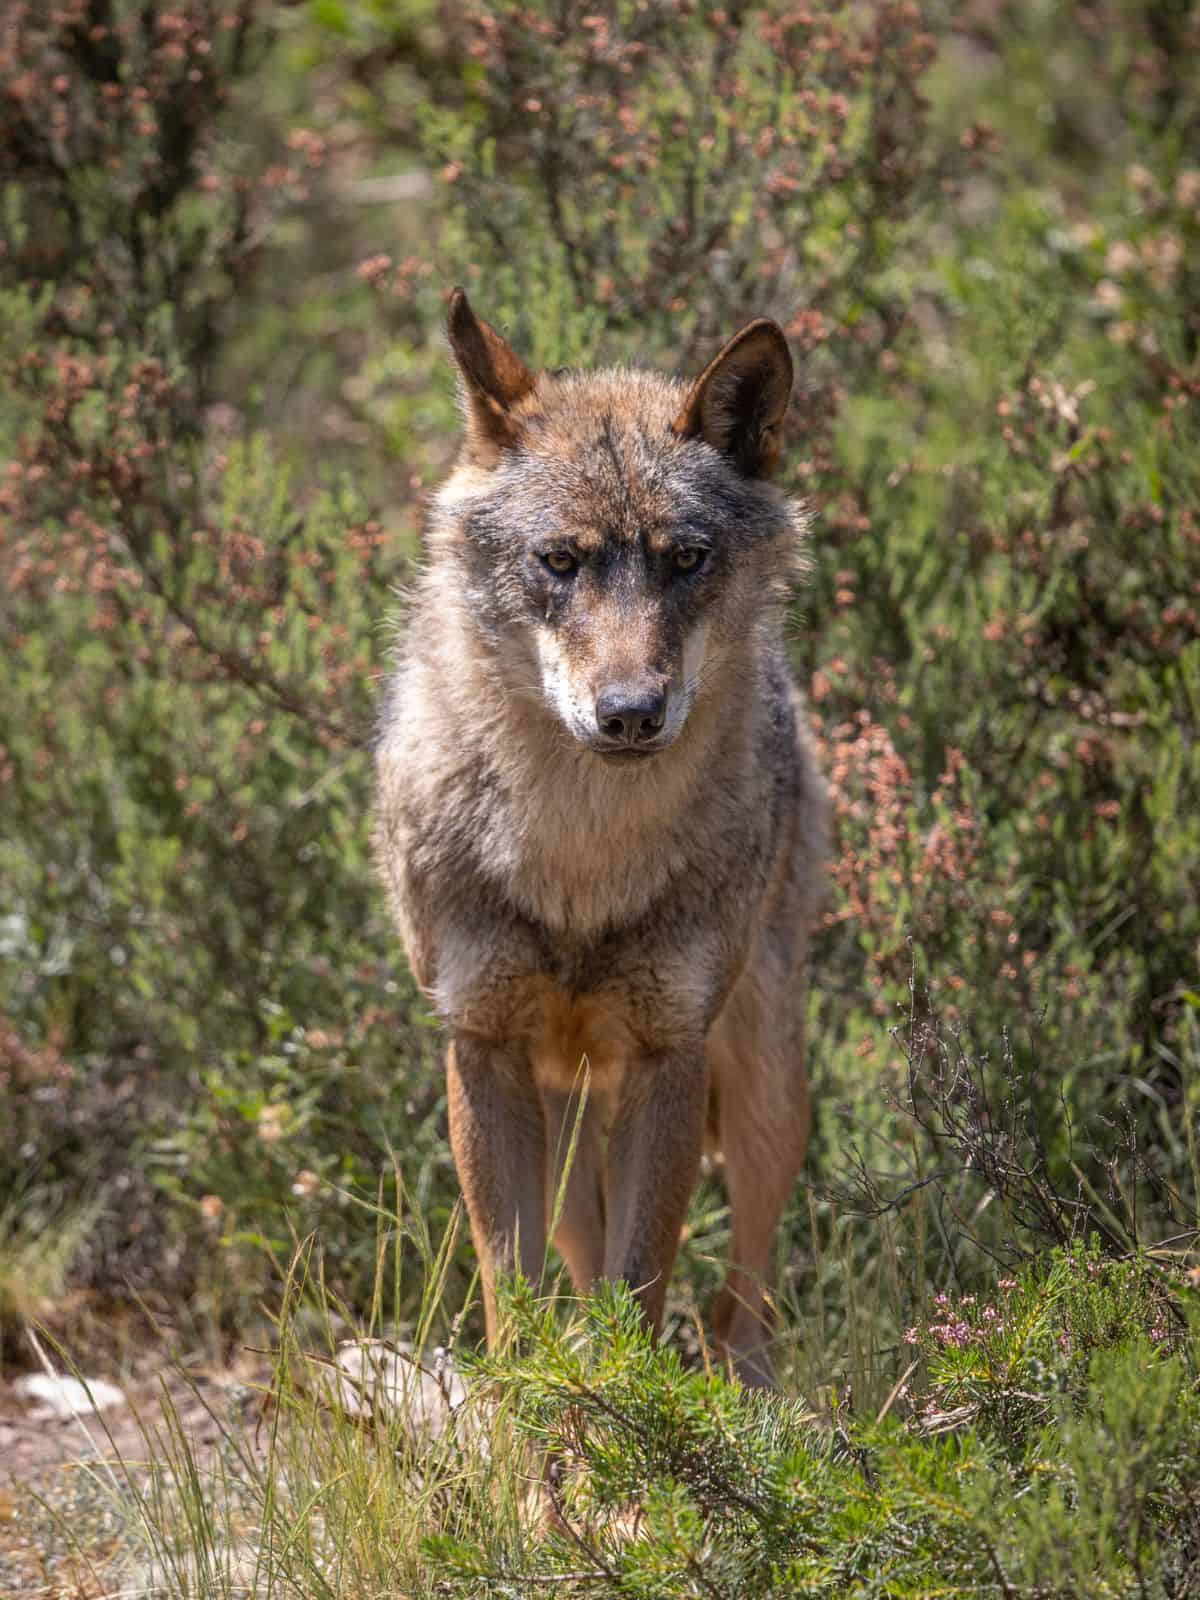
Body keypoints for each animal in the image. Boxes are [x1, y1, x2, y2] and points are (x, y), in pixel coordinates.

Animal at [374, 290, 827, 1387]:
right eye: (560, 561)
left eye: (686, 560)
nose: (629, 714)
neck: (581, 862)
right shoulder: (483, 1047)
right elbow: (515, 1293)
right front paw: (530, 1420)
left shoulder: (671, 1055)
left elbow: (642, 1288)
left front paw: (624, 1418)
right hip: (571, 1105)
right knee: (580, 1269)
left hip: (762, 1082)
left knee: (743, 1297)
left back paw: (752, 1397)